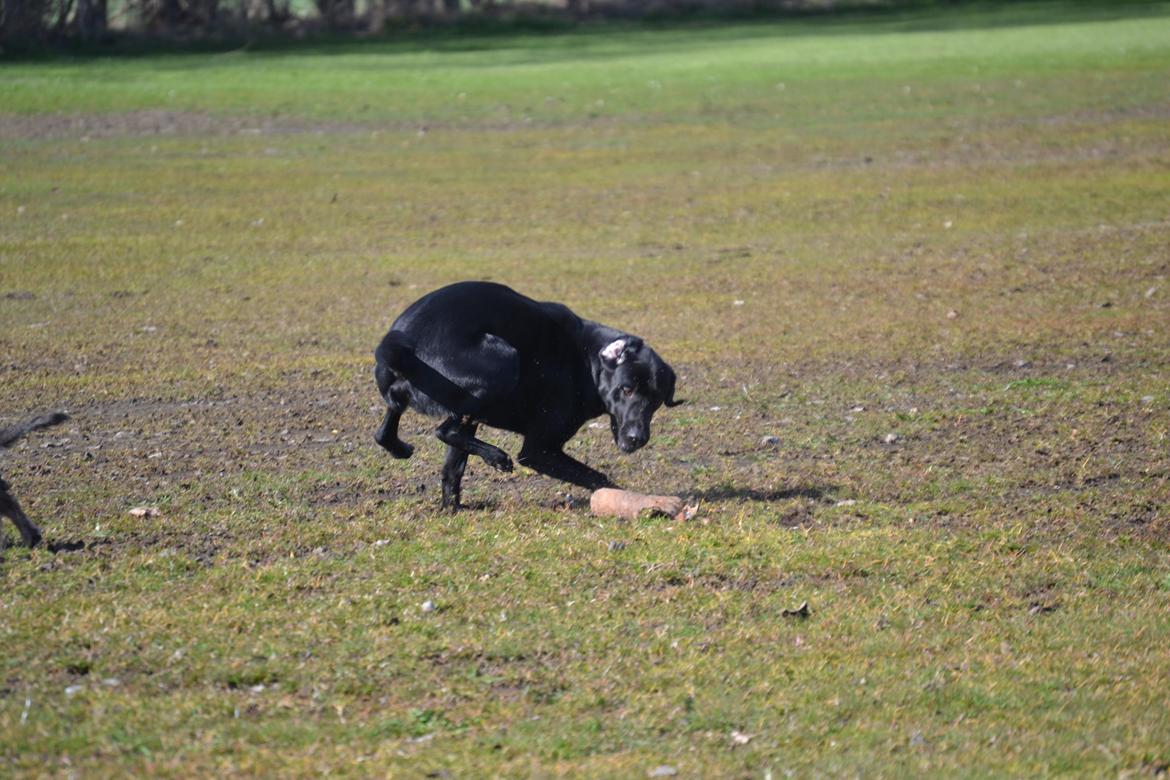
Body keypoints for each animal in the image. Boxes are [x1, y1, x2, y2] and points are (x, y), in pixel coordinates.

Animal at [374, 280, 683, 512]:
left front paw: (452, 508)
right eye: (626, 389)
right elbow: (596, 477)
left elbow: (452, 469)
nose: (637, 438)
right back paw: (496, 456)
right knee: (444, 430)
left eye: (656, 400)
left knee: (387, 430)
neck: (586, 361)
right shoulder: (539, 450)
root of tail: (405, 339)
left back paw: (402, 451)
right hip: (504, 360)